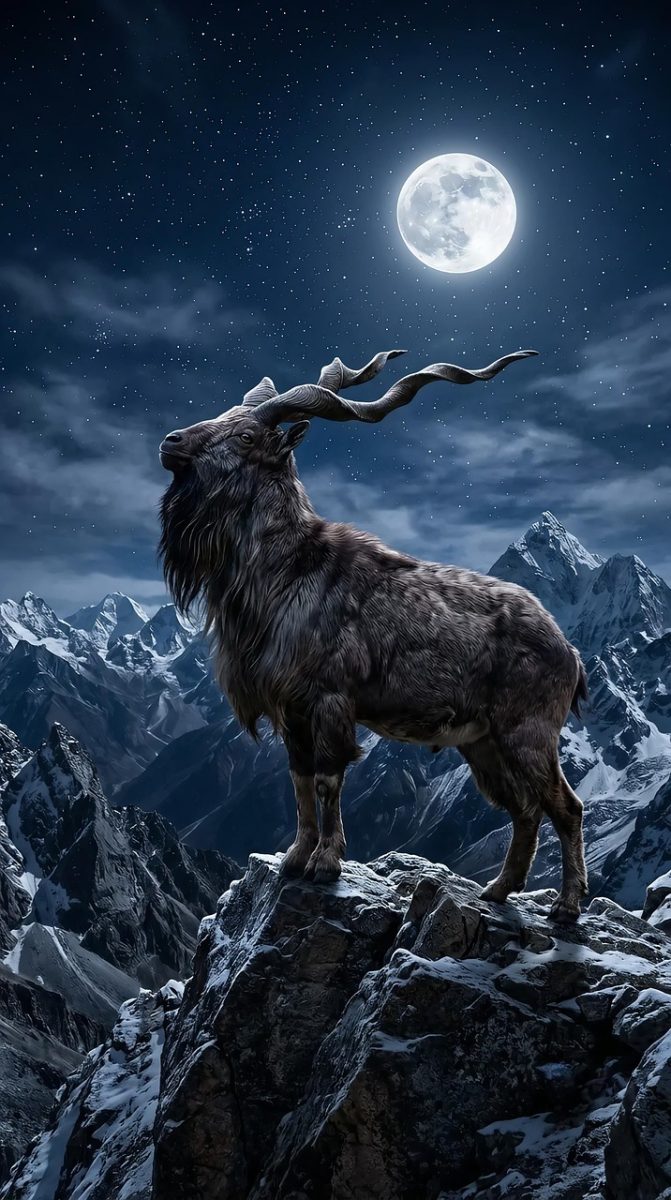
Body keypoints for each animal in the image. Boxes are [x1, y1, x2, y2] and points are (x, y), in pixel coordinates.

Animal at [159, 348, 589, 921]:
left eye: (247, 435)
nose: (171, 443)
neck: (286, 571)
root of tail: (571, 651)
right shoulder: (292, 710)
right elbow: (298, 778)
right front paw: (294, 857)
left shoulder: (331, 699)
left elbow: (328, 777)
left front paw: (325, 864)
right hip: (482, 742)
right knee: (522, 809)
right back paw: (497, 891)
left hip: (529, 732)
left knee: (565, 806)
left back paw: (566, 905)